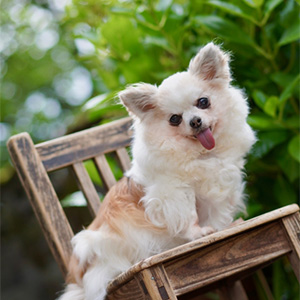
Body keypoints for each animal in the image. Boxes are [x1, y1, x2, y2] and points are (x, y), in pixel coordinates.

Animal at [58, 42, 255, 300]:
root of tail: (78, 280)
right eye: (174, 119)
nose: (195, 121)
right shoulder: (173, 193)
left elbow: (217, 212)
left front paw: (220, 228)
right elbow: (189, 216)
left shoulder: (219, 185)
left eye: (203, 102)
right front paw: (199, 234)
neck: (201, 154)